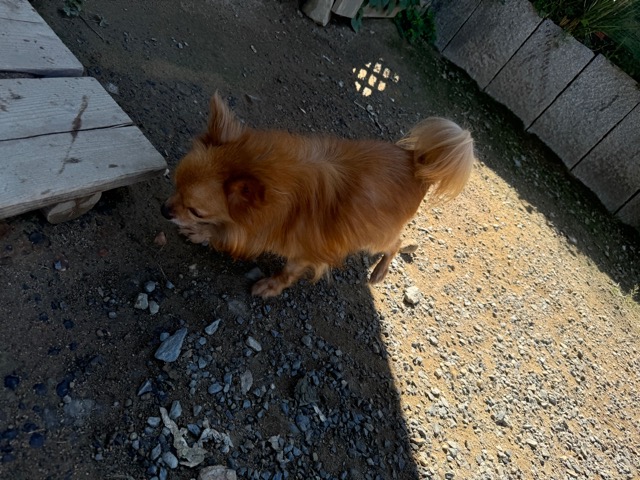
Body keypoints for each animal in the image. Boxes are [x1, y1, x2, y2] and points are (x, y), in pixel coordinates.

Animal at [161, 93, 476, 298]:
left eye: (196, 210)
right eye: (174, 186)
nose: (164, 210)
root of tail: (416, 163)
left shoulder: (303, 253)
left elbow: (288, 272)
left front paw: (270, 286)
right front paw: (200, 234)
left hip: (375, 235)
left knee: (395, 244)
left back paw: (379, 271)